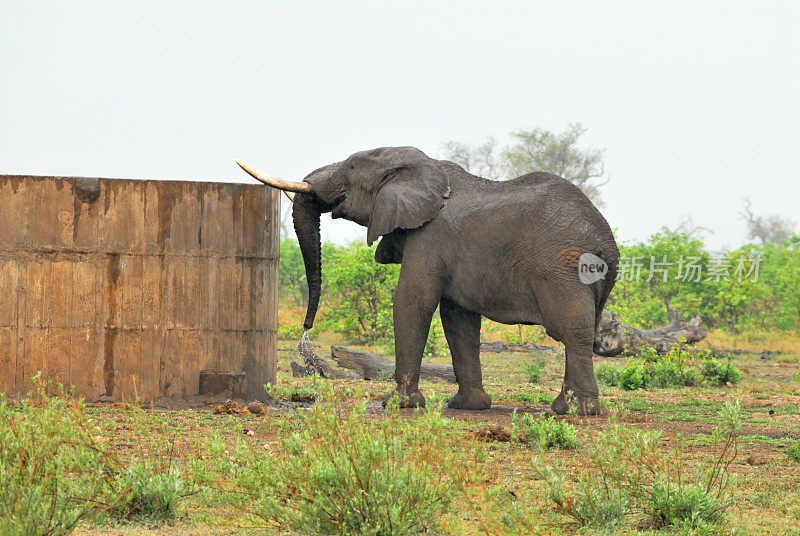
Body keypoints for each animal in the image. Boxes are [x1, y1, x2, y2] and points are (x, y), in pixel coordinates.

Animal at [238, 147, 620, 414]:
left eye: (351, 166)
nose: (306, 330)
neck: (420, 165)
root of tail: (607, 242)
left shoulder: (429, 236)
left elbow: (412, 300)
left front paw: (398, 405)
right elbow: (457, 319)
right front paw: (467, 407)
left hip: (563, 269)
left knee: (571, 330)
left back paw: (576, 411)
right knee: (579, 332)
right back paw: (568, 407)